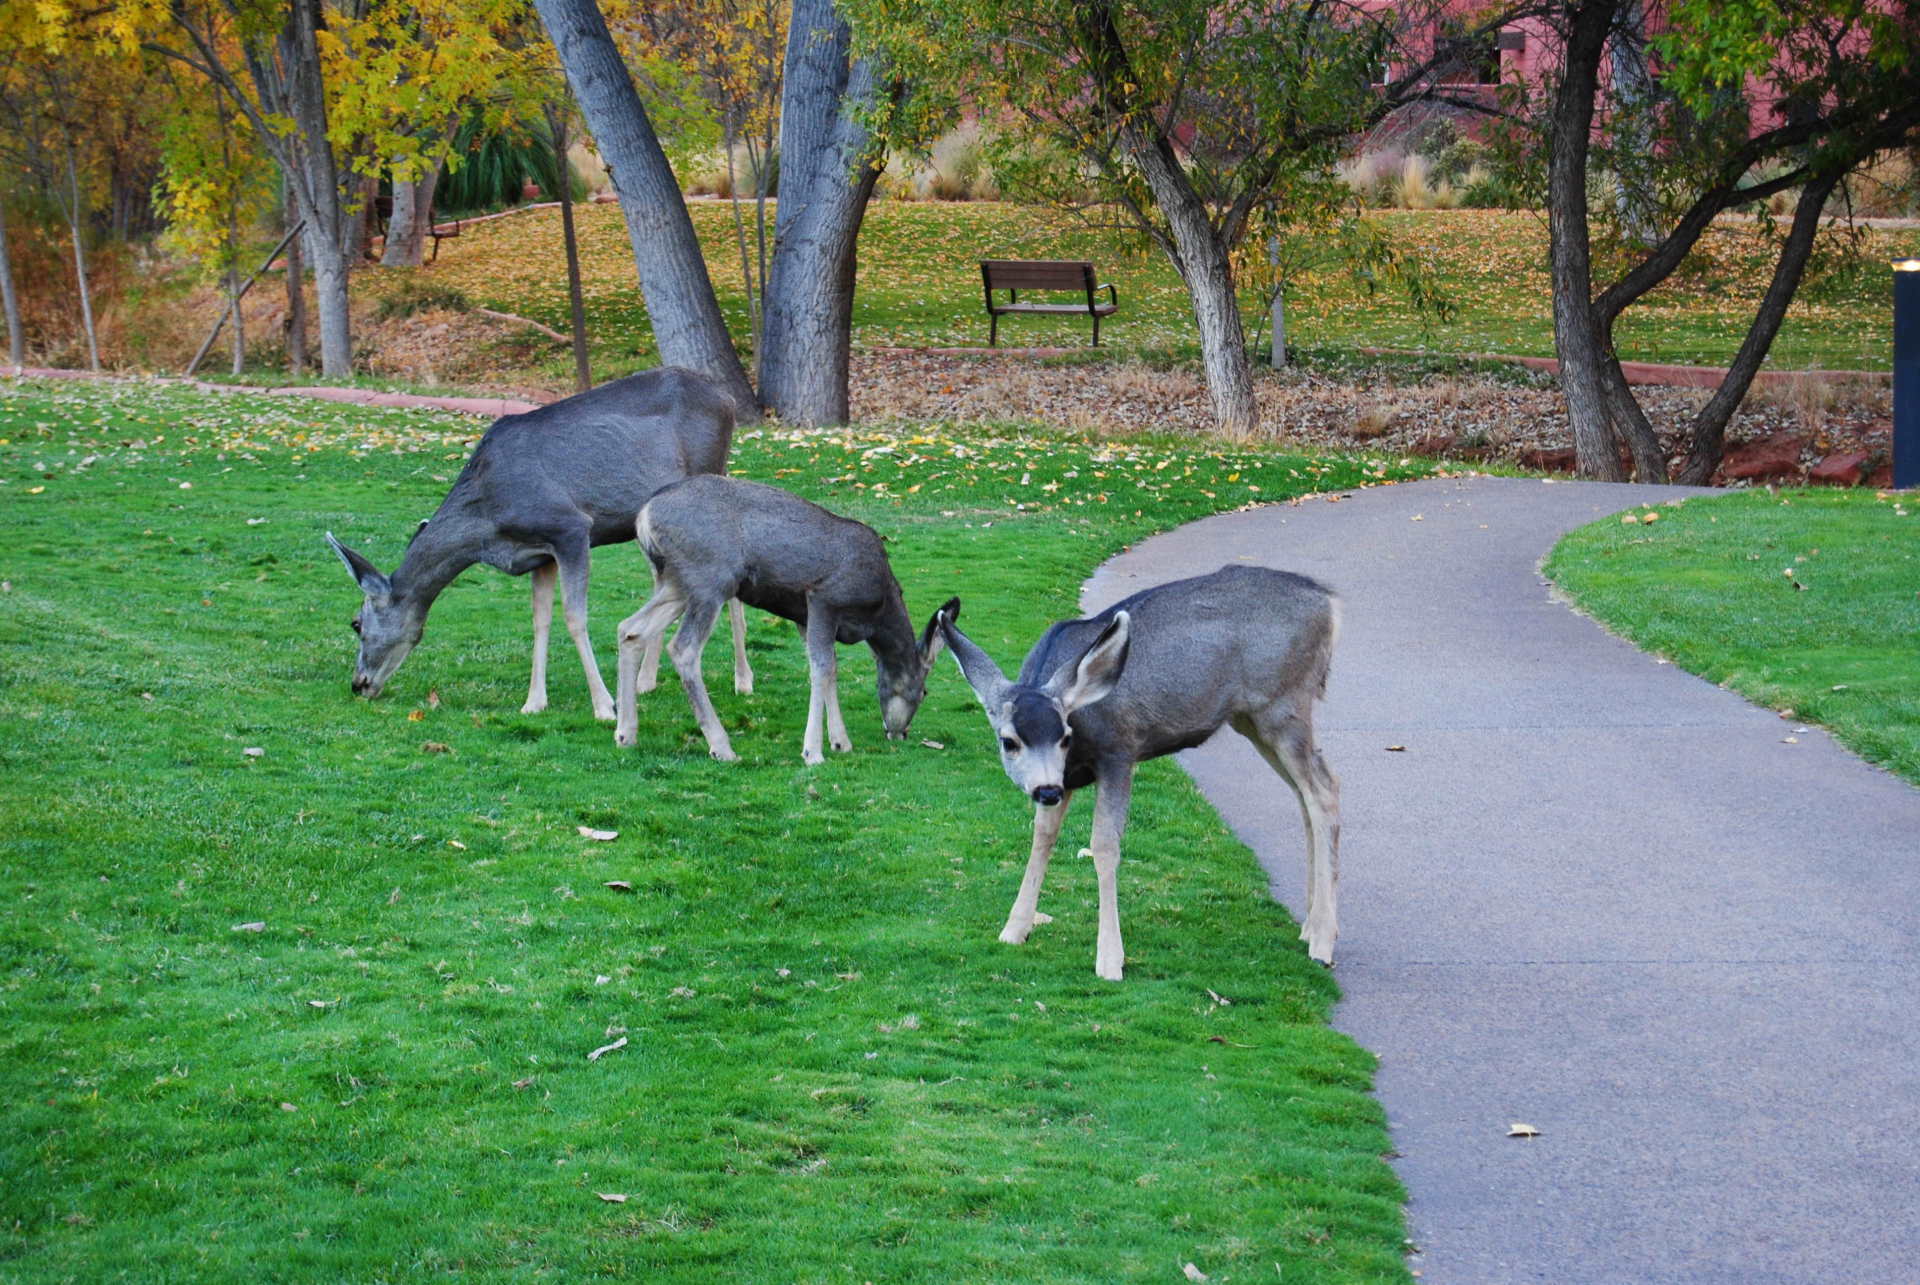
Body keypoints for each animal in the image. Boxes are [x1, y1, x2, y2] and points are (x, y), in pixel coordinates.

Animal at [324, 367, 752, 719]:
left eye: (355, 622)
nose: (358, 684)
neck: (489, 524)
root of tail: (729, 400)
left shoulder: (570, 529)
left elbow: (575, 617)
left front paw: (605, 706)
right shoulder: (539, 554)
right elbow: (540, 620)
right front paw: (534, 702)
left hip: (710, 472)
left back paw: (743, 679)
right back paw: (646, 680)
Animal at [613, 475, 955, 765]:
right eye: (924, 691)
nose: (900, 732)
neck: (877, 611)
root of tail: (644, 516)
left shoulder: (804, 617)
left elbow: (830, 668)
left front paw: (841, 742)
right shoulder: (823, 598)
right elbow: (822, 668)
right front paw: (813, 751)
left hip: (677, 583)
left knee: (630, 629)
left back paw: (626, 733)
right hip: (710, 578)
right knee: (683, 649)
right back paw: (721, 746)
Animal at [935, 564, 1342, 980]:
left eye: (1064, 736)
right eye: (1009, 741)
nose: (1046, 790)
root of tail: (1329, 603)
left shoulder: (1118, 752)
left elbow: (1104, 845)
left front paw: (1110, 960)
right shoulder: (1067, 778)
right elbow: (1042, 835)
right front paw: (1014, 929)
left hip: (1284, 705)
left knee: (1324, 789)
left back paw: (1323, 940)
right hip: (1252, 719)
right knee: (1304, 795)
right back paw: (1309, 927)